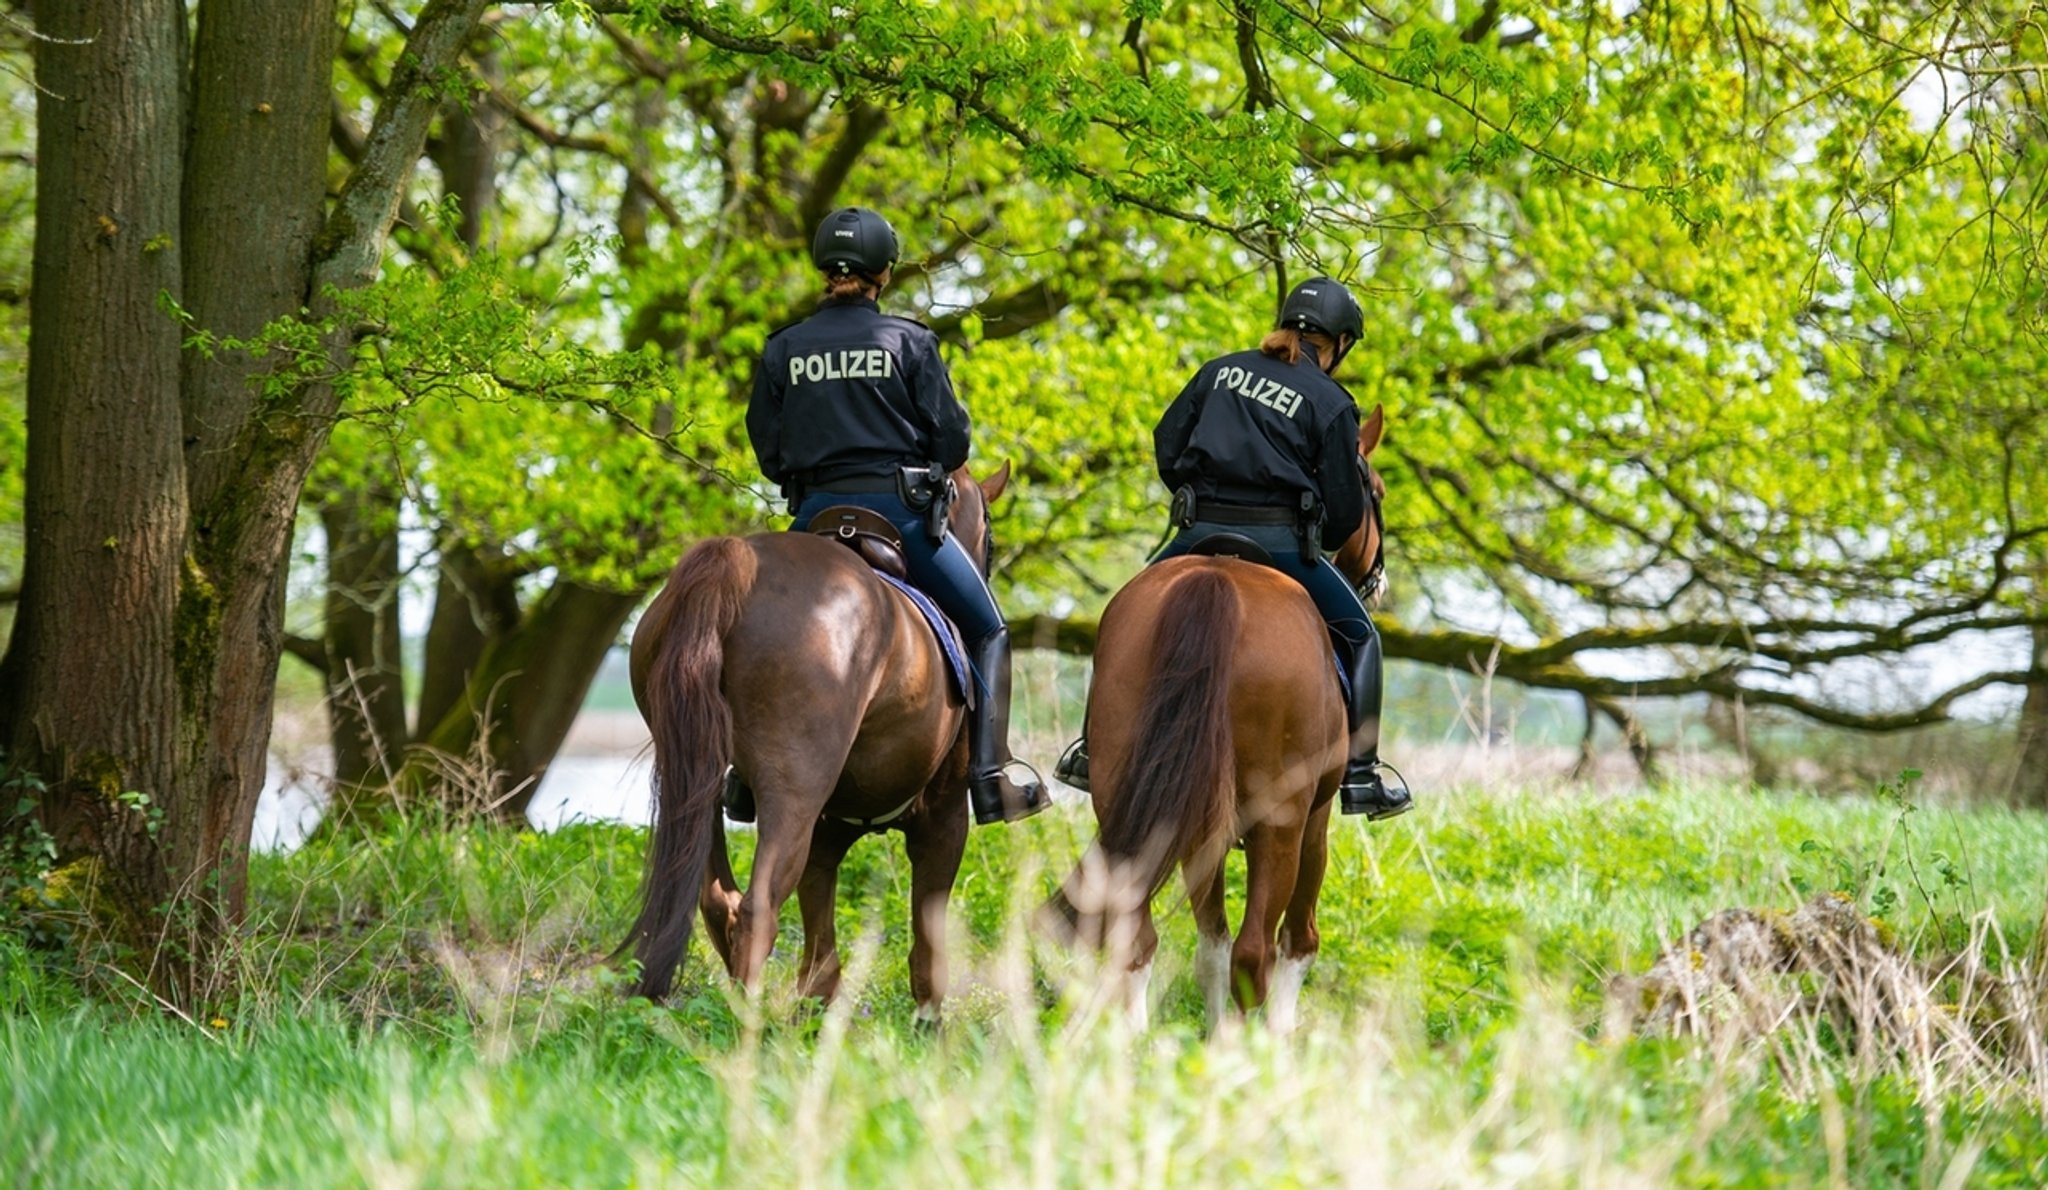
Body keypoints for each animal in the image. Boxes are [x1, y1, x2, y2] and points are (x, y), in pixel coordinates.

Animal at [618, 458, 1011, 1015]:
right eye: (990, 536)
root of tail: (737, 563)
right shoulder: (943, 820)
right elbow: (926, 948)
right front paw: (928, 1024)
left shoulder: (826, 833)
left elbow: (821, 953)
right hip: (794, 790)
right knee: (757, 909)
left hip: (694, 777)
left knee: (717, 901)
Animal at [1040, 403, 1392, 1024]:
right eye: (1373, 490)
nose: (1379, 581)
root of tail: (1217, 579)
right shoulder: (1315, 820)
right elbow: (1297, 941)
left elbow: (1210, 945)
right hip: (1281, 820)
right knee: (1256, 952)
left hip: (1133, 795)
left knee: (1139, 933)